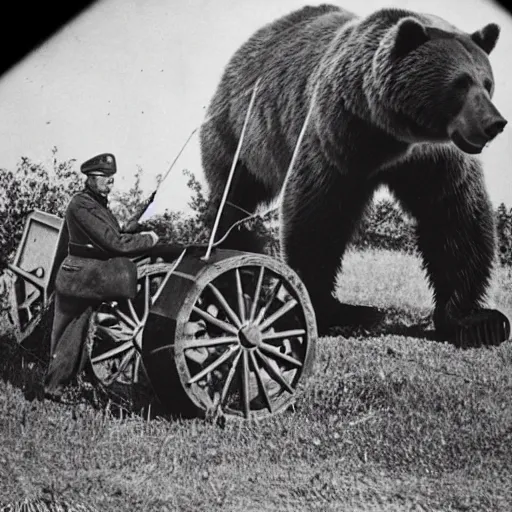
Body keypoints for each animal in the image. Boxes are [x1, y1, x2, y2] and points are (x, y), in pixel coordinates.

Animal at [199, 4, 508, 346]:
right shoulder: (337, 135)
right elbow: (318, 215)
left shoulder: (435, 158)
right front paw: (330, 310)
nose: (494, 123)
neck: (392, 134)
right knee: (233, 197)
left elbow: (454, 218)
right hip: (242, 131)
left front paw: (477, 321)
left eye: (487, 82)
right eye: (460, 83)